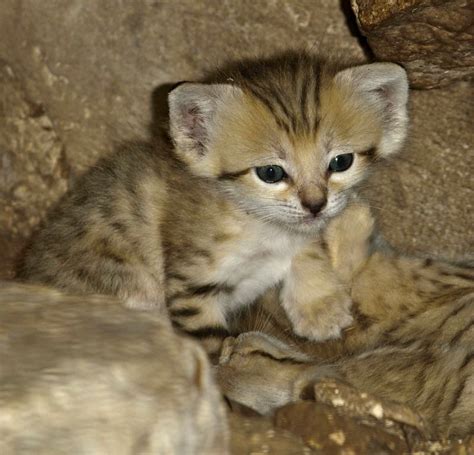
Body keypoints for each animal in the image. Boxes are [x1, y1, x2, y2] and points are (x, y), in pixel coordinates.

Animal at [19, 52, 408, 352]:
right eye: (270, 172)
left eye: (341, 162)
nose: (316, 204)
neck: (259, 226)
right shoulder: (192, 286)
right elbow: (212, 345)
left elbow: (308, 246)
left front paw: (319, 305)